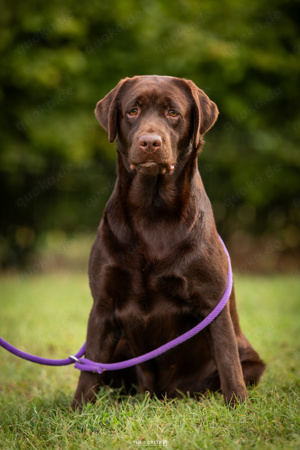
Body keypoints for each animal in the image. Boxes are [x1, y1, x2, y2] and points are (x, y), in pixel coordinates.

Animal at [72, 74, 264, 408]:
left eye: (173, 113)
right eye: (132, 111)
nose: (150, 142)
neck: (153, 212)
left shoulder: (212, 302)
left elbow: (228, 361)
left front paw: (238, 407)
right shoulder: (104, 306)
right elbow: (90, 367)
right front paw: (77, 411)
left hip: (252, 362)